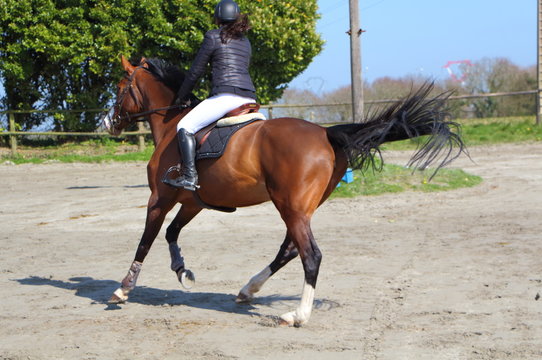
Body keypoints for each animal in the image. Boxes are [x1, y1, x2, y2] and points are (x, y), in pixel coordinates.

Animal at [104, 55, 466, 326]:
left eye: (120, 88)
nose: (108, 123)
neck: (172, 127)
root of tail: (325, 133)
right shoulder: (193, 201)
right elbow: (171, 233)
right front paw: (182, 271)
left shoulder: (160, 198)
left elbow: (147, 239)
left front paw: (123, 289)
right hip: (299, 208)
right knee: (290, 250)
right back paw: (248, 289)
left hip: (289, 206)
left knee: (310, 255)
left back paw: (297, 315)